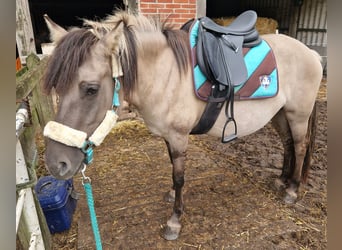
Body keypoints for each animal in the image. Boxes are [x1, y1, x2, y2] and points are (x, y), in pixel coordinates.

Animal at [41, 10, 322, 240]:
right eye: (56, 88)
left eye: (91, 89)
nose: (57, 164)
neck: (165, 75)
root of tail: (311, 53)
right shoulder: (168, 136)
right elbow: (172, 170)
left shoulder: (178, 136)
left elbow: (179, 177)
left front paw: (174, 221)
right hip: (279, 114)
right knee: (287, 144)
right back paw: (282, 180)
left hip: (298, 115)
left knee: (299, 146)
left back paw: (292, 190)